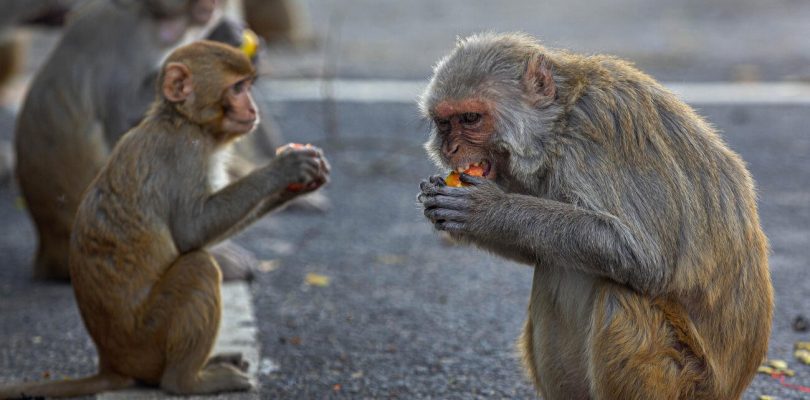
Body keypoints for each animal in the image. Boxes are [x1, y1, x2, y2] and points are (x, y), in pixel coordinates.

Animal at [0, 40, 330, 399]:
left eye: (248, 86)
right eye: (237, 88)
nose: (253, 109)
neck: (183, 120)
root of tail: (111, 363)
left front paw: (298, 186)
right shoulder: (185, 152)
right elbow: (191, 231)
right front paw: (284, 170)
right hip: (148, 340)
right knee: (199, 266)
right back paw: (188, 381)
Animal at [417, 33, 773, 400]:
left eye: (470, 118)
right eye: (444, 123)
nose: (449, 149)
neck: (558, 126)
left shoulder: (594, 135)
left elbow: (645, 256)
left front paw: (486, 210)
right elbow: (537, 252)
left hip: (688, 379)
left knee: (620, 293)